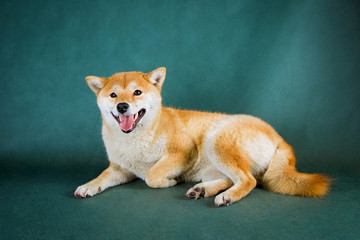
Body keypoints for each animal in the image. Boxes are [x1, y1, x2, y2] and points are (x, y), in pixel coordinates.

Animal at [74, 67, 330, 206]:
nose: (122, 106)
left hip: (216, 141)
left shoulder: (183, 151)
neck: (135, 139)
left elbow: (151, 175)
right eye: (113, 95)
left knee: (249, 180)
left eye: (137, 92)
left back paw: (227, 197)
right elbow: (102, 178)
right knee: (235, 178)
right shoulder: (121, 169)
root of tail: (279, 136)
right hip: (211, 165)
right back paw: (204, 190)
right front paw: (88, 186)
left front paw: (169, 181)